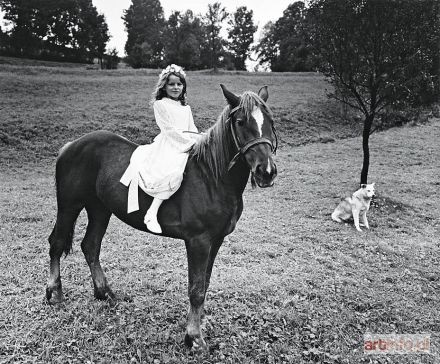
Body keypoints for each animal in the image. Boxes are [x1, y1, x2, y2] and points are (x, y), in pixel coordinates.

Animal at [46, 84, 276, 352]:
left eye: (270, 121)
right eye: (240, 122)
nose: (266, 172)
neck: (212, 176)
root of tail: (71, 145)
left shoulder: (215, 240)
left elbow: (205, 283)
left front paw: (198, 325)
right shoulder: (198, 242)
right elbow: (196, 288)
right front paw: (194, 337)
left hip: (100, 209)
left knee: (90, 246)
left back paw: (105, 293)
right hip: (69, 206)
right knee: (57, 243)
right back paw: (55, 293)